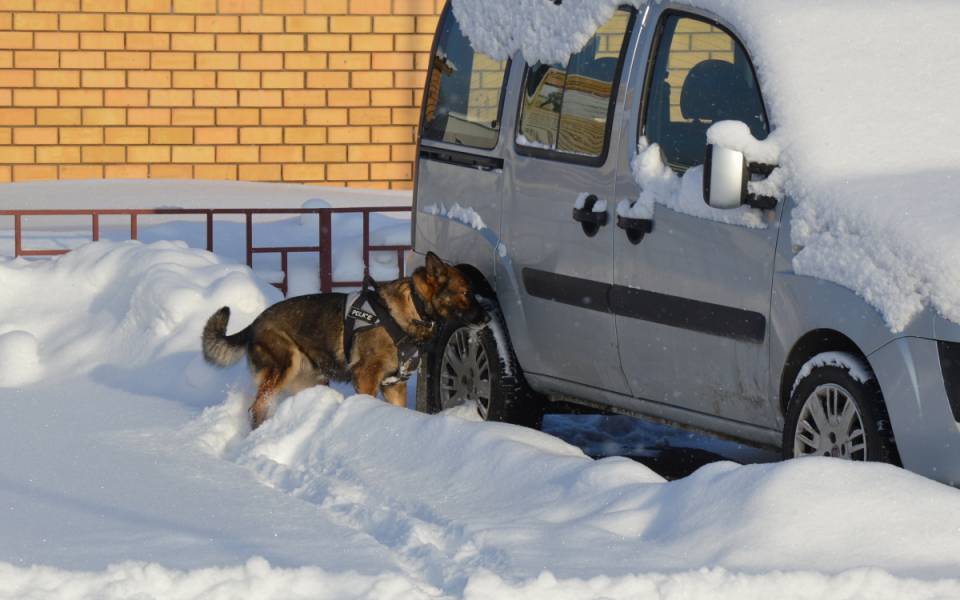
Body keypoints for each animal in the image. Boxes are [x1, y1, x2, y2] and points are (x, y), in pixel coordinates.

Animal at [203, 251, 488, 428]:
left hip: (311, 380)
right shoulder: (366, 378)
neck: (413, 308)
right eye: (466, 293)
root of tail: (254, 323)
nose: (488, 315)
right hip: (283, 367)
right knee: (256, 409)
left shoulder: (394, 385)